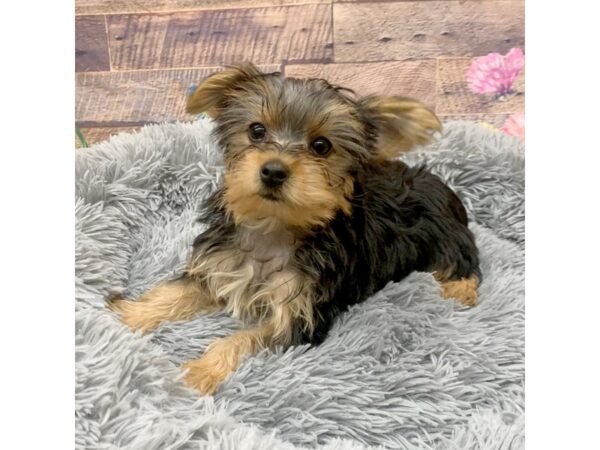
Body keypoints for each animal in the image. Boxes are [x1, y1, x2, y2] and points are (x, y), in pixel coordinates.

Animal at [110, 62, 480, 394]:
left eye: (322, 146)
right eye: (256, 131)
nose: (273, 170)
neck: (274, 226)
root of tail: (444, 189)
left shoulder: (301, 313)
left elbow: (244, 338)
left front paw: (202, 371)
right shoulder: (219, 264)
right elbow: (177, 292)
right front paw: (131, 314)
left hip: (448, 238)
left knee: (467, 262)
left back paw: (460, 289)